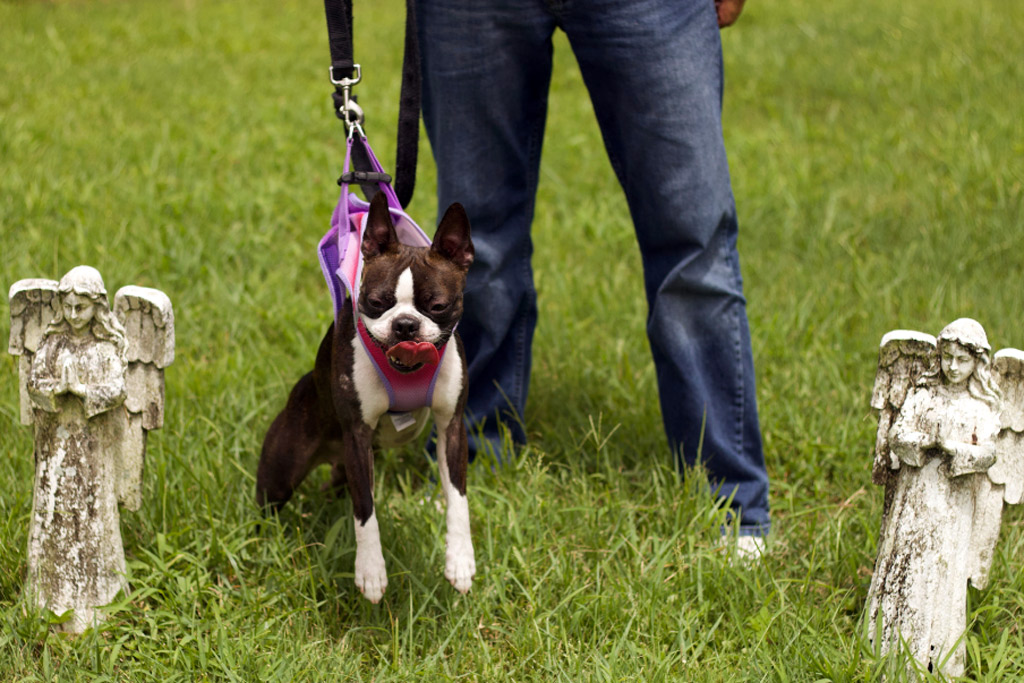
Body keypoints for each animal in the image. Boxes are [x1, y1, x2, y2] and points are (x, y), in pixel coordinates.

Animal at [260, 193, 475, 602]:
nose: (405, 324)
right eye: (376, 301)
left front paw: (460, 560)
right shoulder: (357, 436)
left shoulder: (451, 426)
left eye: (437, 306)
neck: (406, 370)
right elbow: (365, 511)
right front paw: (371, 571)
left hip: (341, 464)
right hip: (285, 467)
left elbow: (457, 497)